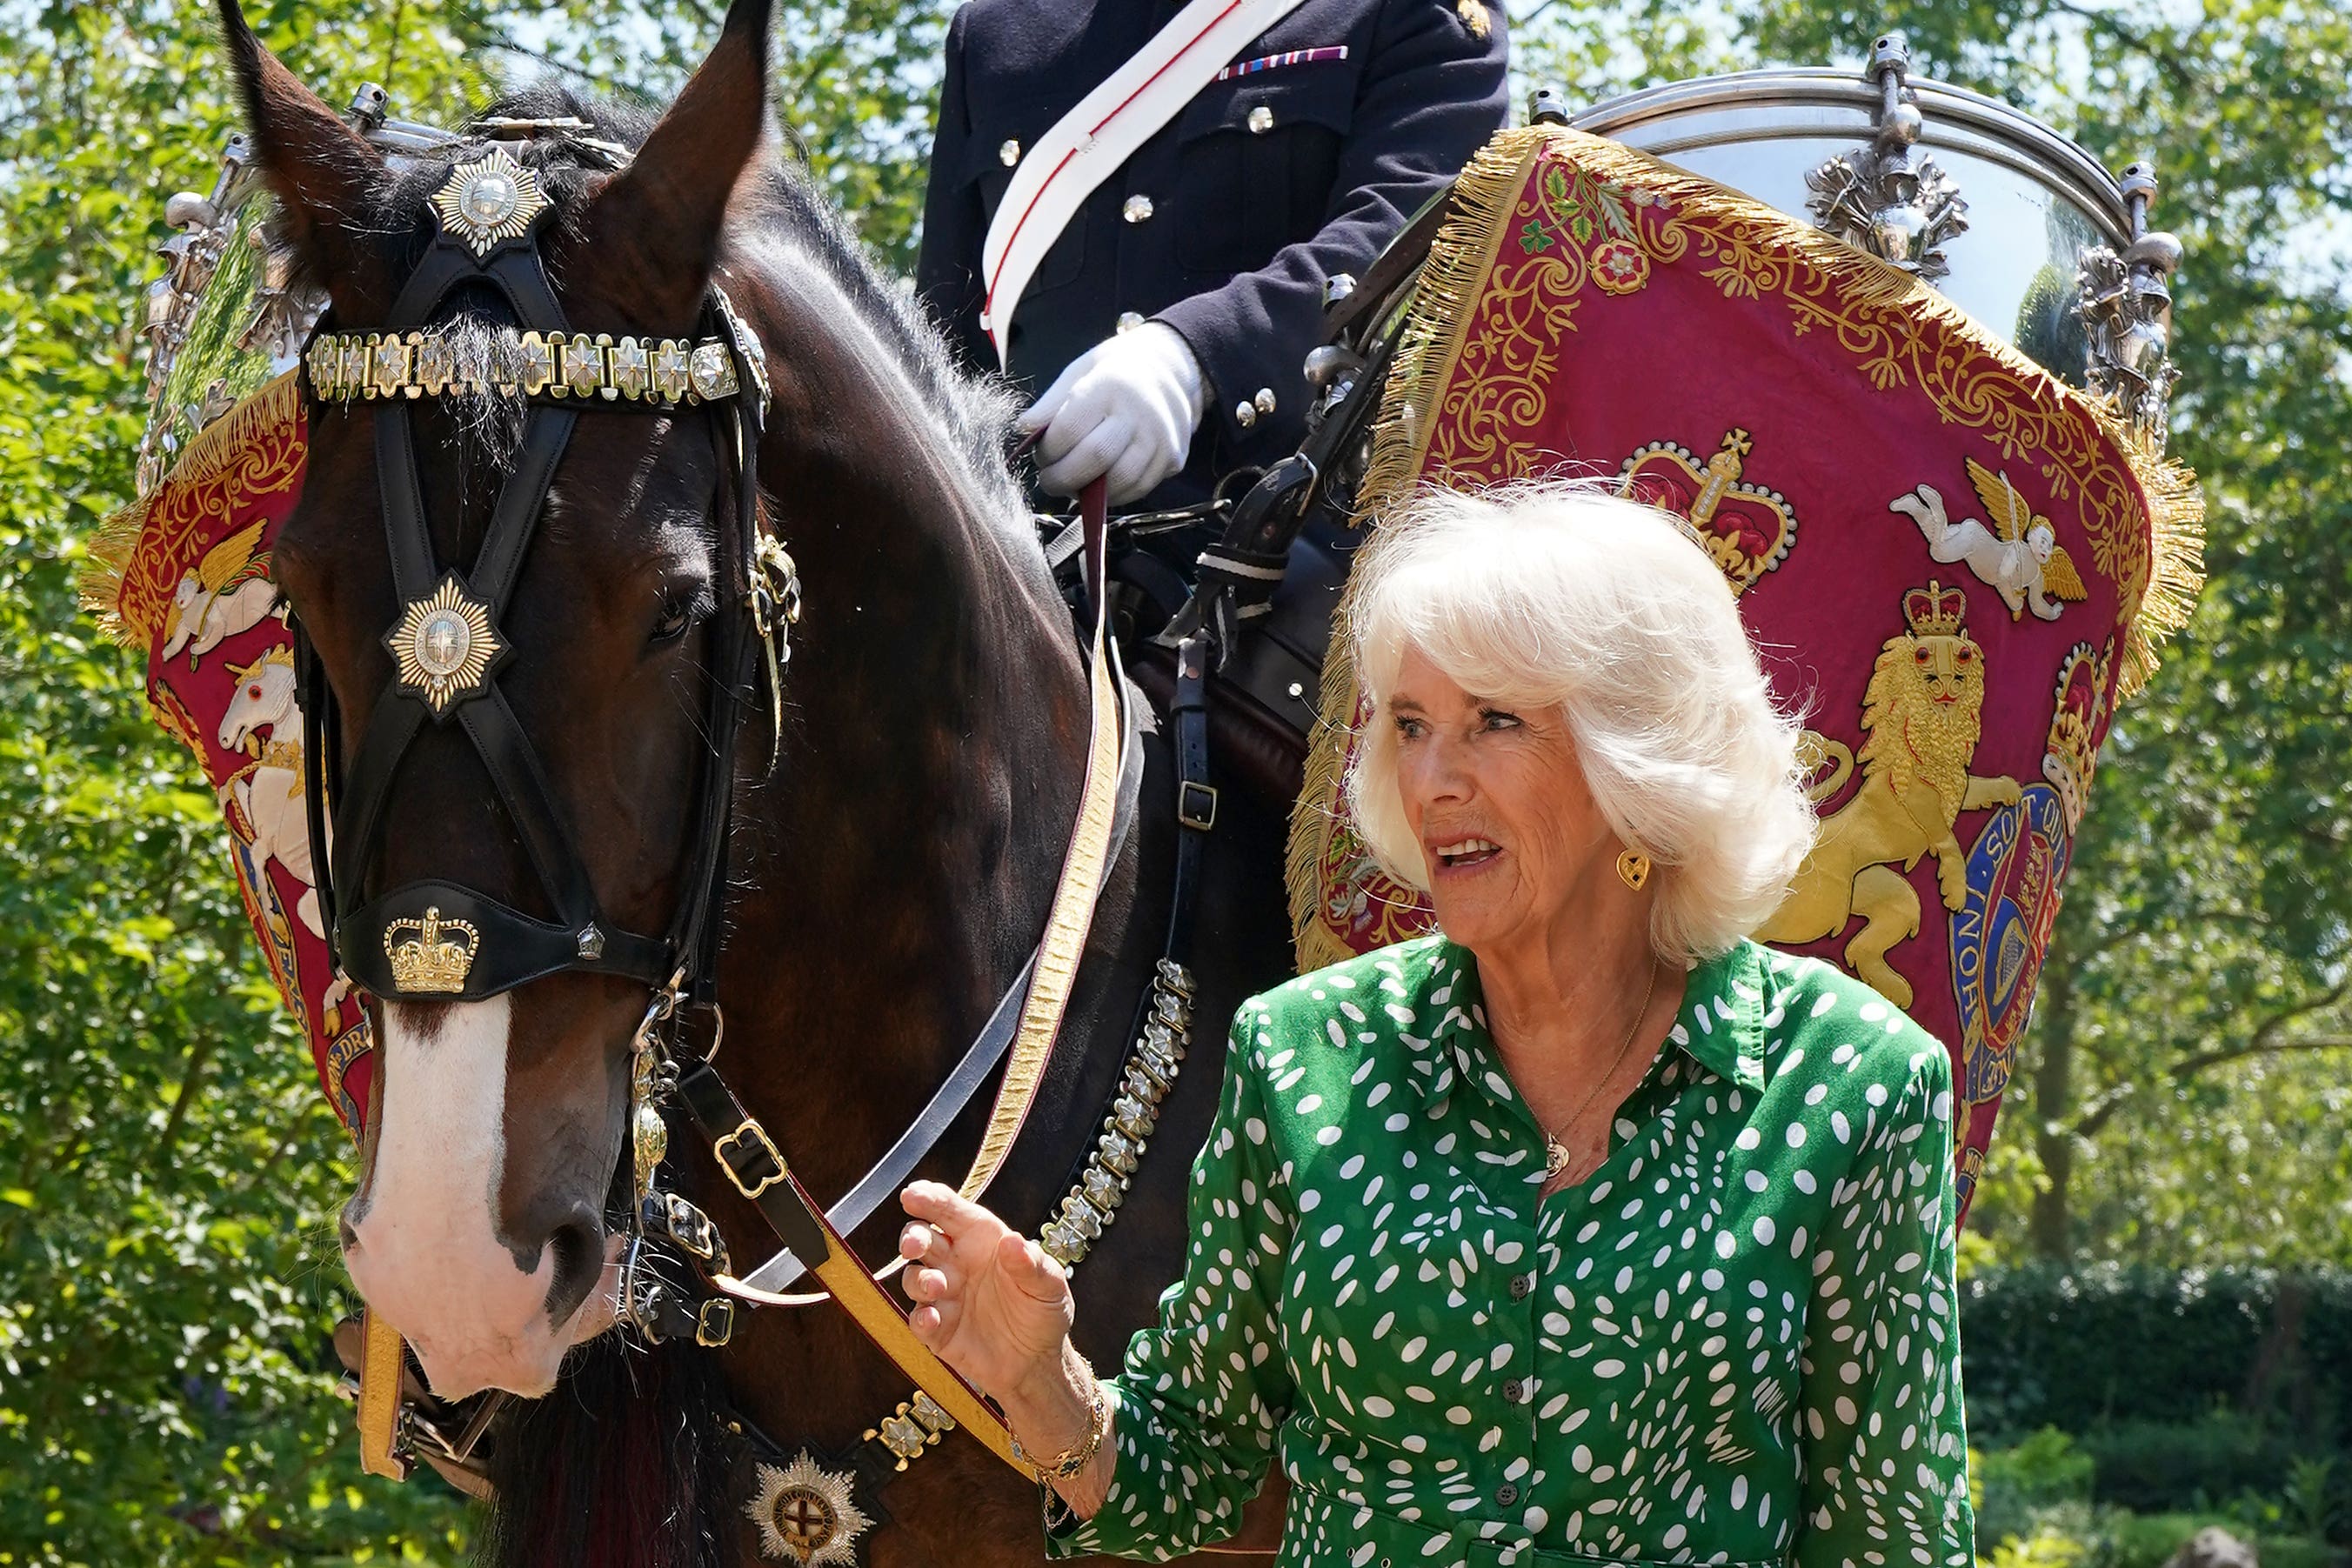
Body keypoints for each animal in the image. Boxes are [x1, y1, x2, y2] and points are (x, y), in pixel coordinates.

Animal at [1768, 583, 2022, 1011]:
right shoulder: (1917, 798)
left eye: (1963, 654)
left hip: (1873, 888)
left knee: (1873, 934)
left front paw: (2008, 789)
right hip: (1816, 908)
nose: (1949, 683)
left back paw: (1884, 987)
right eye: (1922, 656)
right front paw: (1955, 887)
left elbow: (1978, 788)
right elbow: (1946, 839)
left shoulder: (1957, 785)